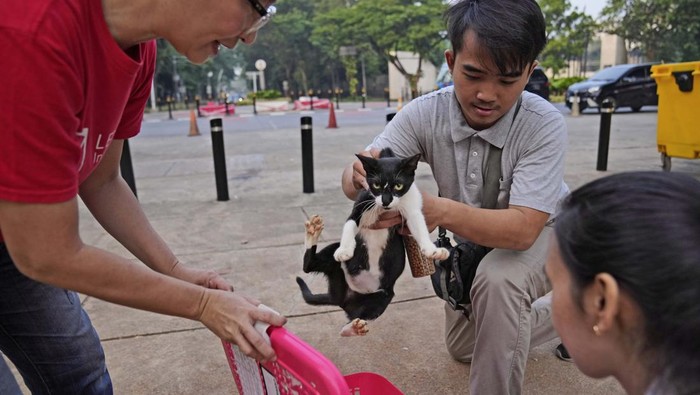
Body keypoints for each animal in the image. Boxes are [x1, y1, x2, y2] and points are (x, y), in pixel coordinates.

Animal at [296, 148, 448, 338]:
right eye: (376, 185)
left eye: (398, 186)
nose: (386, 200)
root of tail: (342, 297)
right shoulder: (361, 203)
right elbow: (350, 223)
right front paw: (345, 249)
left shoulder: (411, 206)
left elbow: (419, 226)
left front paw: (432, 250)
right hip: (335, 263)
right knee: (308, 265)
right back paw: (313, 231)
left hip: (382, 296)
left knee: (354, 318)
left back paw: (354, 328)